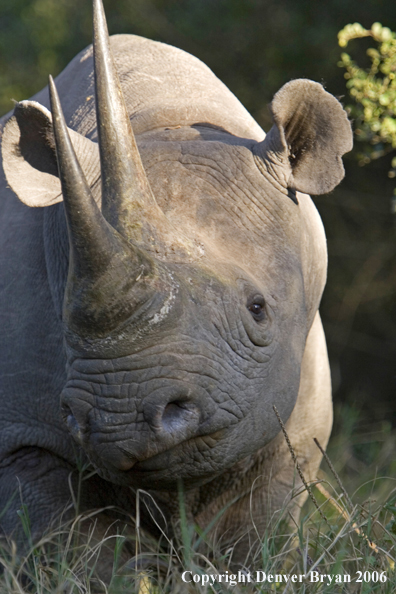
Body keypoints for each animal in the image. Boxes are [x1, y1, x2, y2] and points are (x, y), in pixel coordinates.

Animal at [0, 0, 352, 560]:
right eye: (63, 320)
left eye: (258, 310)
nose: (121, 418)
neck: (166, 117)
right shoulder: (21, 435)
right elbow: (78, 550)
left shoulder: (291, 436)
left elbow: (251, 538)